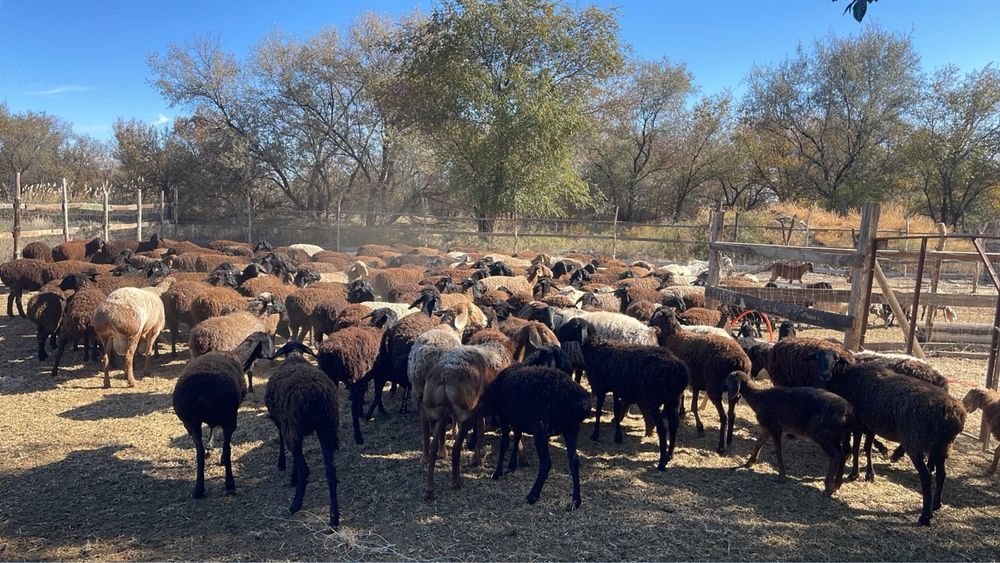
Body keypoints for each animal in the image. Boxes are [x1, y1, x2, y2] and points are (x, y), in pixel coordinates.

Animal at [172, 331, 273, 499]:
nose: (274, 353)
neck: (239, 356)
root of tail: (202, 388)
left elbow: (212, 429)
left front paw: (210, 447)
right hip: (229, 417)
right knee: (227, 447)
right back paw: (229, 483)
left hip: (191, 422)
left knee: (199, 453)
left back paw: (198, 489)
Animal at [481, 365, 591, 509]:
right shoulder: (517, 420)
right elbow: (517, 439)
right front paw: (511, 465)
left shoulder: (505, 417)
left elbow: (504, 443)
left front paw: (497, 472)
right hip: (571, 429)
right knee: (574, 461)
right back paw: (575, 501)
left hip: (541, 430)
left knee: (546, 463)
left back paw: (532, 495)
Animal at [558, 318, 689, 471]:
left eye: (573, 325)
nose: (557, 332)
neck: (595, 348)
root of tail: (680, 369)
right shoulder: (615, 389)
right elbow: (616, 410)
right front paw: (618, 437)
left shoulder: (601, 387)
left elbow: (598, 412)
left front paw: (595, 435)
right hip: (673, 400)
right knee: (674, 426)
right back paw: (670, 455)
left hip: (653, 401)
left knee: (663, 430)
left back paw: (662, 463)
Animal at [648, 308, 751, 454]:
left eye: (658, 313)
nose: (649, 322)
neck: (672, 336)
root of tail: (739, 361)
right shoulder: (695, 382)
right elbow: (693, 406)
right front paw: (698, 426)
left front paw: (669, 413)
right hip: (735, 392)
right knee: (732, 414)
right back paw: (729, 440)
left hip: (714, 388)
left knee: (724, 417)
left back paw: (721, 446)